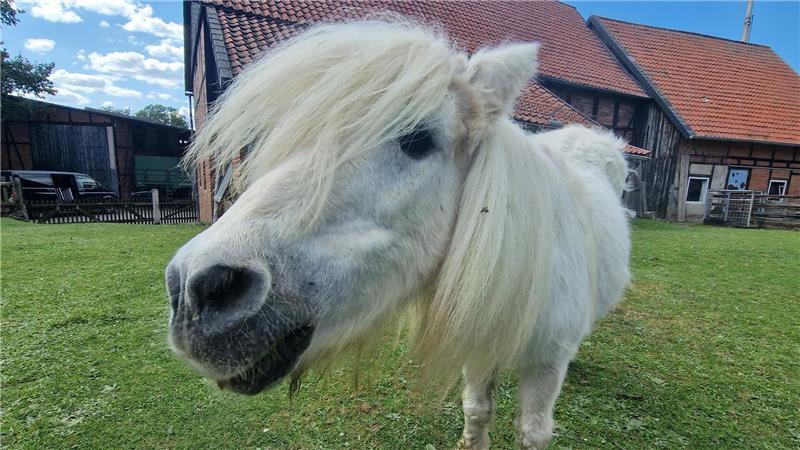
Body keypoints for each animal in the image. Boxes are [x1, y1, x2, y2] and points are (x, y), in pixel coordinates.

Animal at [167, 20, 631, 449]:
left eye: (419, 139)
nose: (194, 290)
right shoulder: (479, 345)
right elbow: (477, 411)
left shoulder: (546, 366)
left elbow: (532, 433)